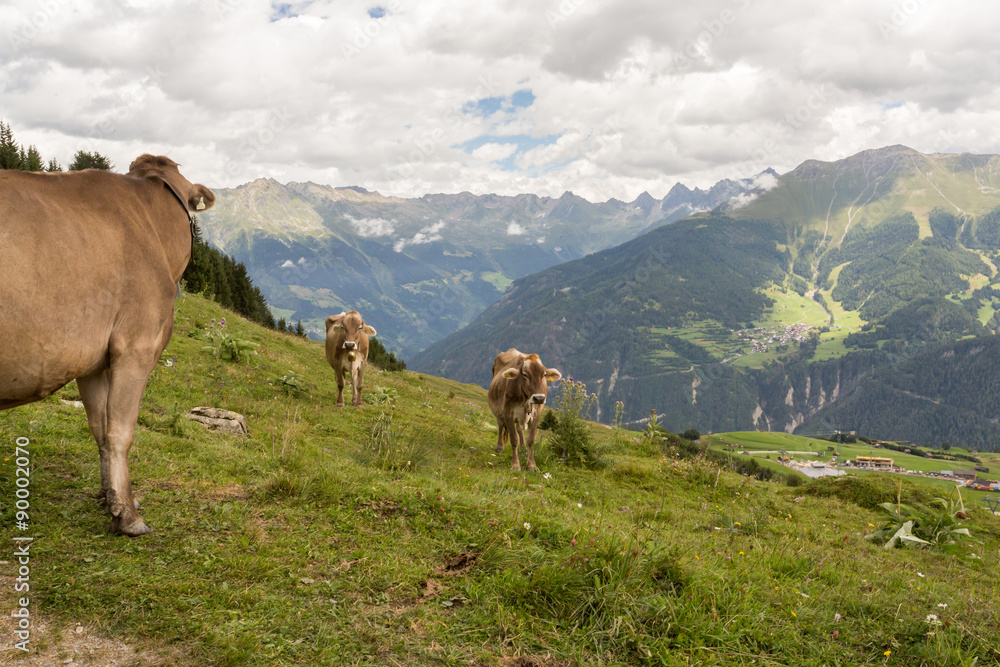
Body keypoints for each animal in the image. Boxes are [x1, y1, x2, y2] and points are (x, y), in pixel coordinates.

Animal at [0, 155, 215, 536]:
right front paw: (128, 515)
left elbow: (99, 428)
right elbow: (120, 431)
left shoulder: (91, 362)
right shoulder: (136, 347)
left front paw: (108, 498)